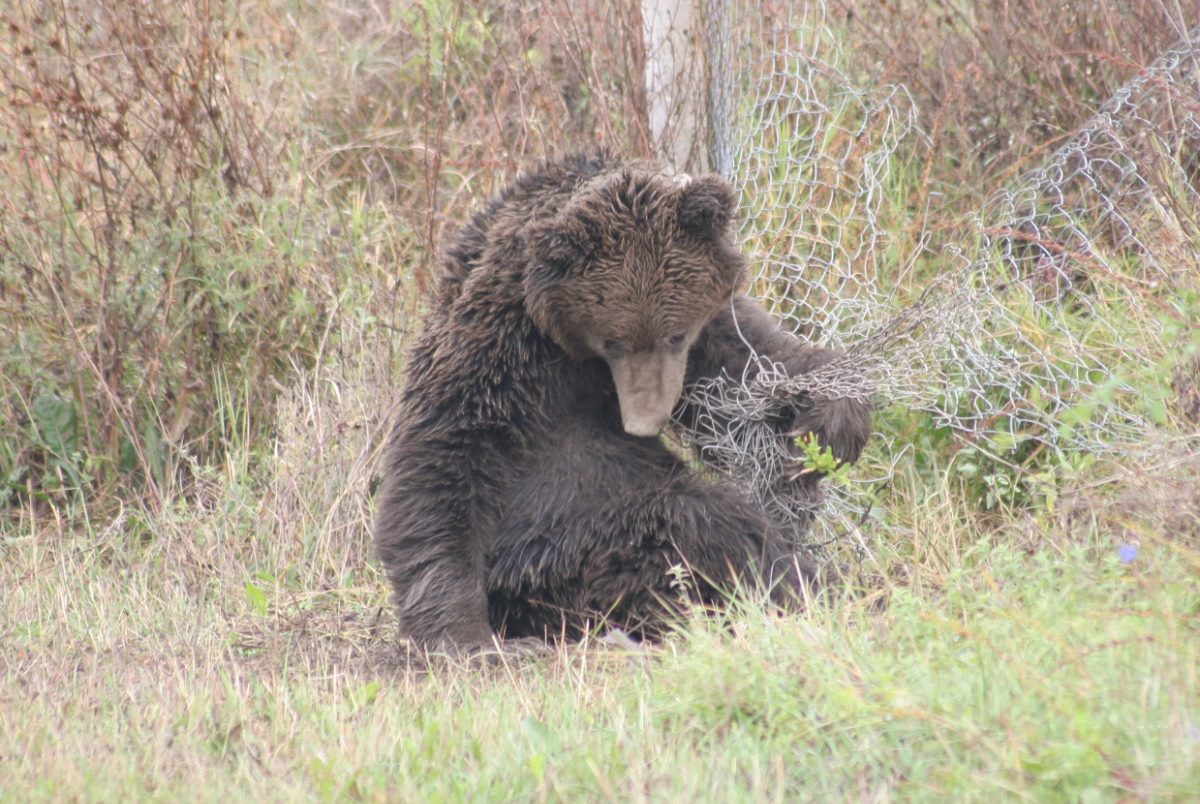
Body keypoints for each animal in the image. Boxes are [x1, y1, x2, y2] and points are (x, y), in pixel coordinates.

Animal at [374, 151, 873, 652]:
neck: (571, 349)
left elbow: (753, 368)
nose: (644, 422)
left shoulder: (707, 337)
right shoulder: (505, 343)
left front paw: (830, 421)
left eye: (675, 334)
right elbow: (445, 447)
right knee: (695, 520)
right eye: (612, 340)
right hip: (564, 551)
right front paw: (463, 635)